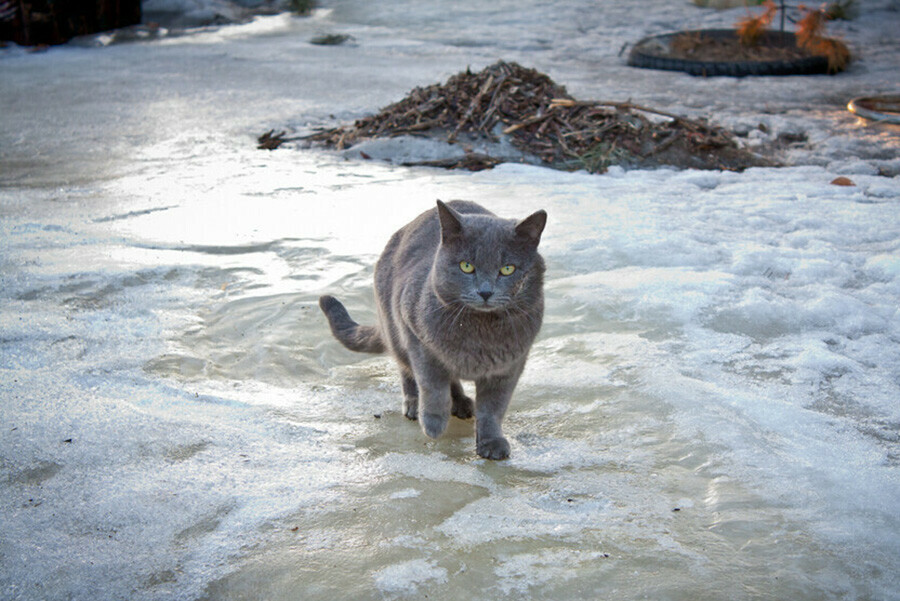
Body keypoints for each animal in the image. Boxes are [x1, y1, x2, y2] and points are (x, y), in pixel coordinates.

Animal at [324, 199, 548, 458]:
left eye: (508, 269)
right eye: (466, 266)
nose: (485, 291)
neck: (480, 332)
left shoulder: (510, 365)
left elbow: (493, 408)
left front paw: (491, 443)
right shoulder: (419, 340)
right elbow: (433, 386)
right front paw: (433, 423)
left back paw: (461, 404)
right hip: (394, 329)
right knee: (407, 371)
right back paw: (415, 405)